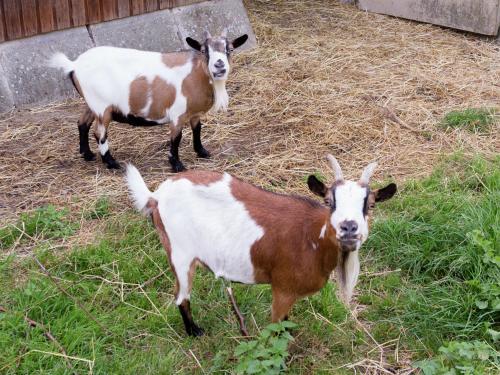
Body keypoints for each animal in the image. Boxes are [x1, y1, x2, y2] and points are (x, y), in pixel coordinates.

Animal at [48, 30, 248, 172]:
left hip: (92, 104)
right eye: (204, 50)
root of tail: (74, 64)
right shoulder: (177, 114)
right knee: (100, 133)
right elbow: (176, 138)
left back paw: (88, 154)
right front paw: (177, 165)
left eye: (230, 49)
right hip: (102, 107)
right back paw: (112, 163)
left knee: (82, 123)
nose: (219, 65)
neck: (195, 74)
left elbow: (197, 130)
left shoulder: (194, 113)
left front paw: (202, 152)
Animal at [126, 156, 398, 338]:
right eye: (329, 202)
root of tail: (155, 196)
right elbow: (277, 327)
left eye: (370, 205)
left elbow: (286, 323)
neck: (312, 237)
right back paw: (195, 332)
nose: (349, 227)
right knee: (181, 296)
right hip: (180, 253)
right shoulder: (283, 288)